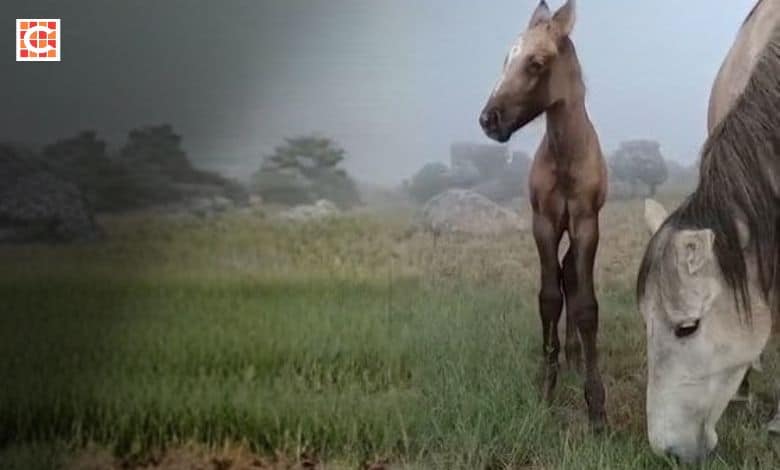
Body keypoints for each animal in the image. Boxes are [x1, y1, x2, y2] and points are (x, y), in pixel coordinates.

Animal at [479, 0, 608, 429]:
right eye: (506, 59)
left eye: (536, 63)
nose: (489, 120)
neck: (566, 159)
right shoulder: (544, 224)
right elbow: (548, 298)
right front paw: (547, 389)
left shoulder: (586, 223)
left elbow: (586, 306)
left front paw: (597, 408)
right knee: (563, 277)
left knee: (572, 276)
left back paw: (574, 356)